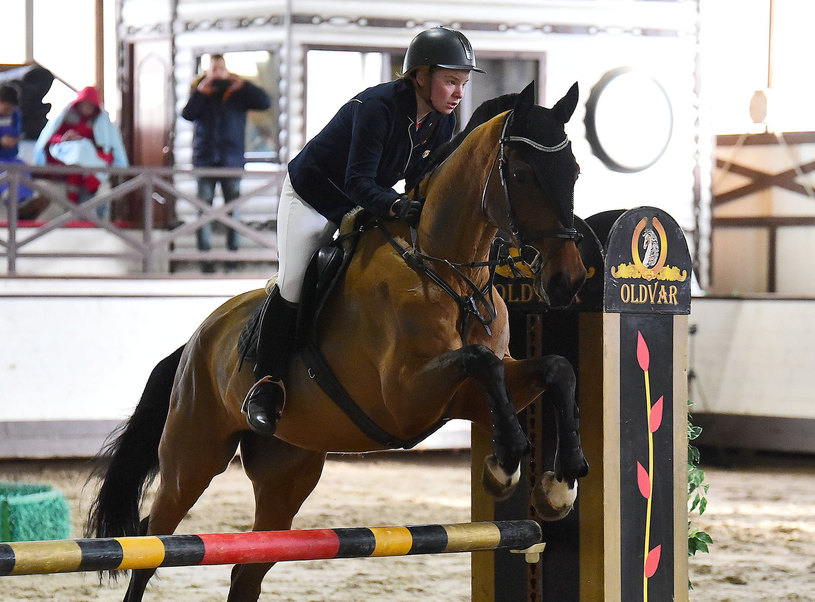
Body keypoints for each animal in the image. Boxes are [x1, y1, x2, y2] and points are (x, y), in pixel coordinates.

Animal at [87, 81, 588, 600]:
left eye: (573, 170)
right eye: (522, 174)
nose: (567, 281)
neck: (447, 274)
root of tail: (194, 342)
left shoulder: (467, 393)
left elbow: (554, 368)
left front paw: (559, 485)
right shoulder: (408, 397)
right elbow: (480, 362)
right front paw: (505, 465)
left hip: (288, 471)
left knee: (247, 568)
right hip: (192, 457)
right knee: (150, 546)